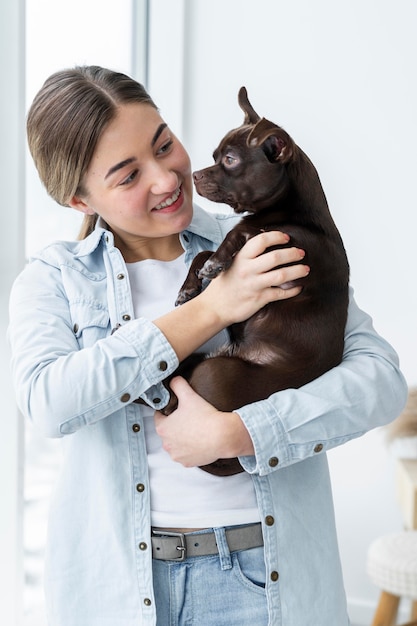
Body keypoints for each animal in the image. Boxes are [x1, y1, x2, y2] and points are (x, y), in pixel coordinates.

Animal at [162, 88, 348, 472]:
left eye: (230, 160)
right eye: (214, 157)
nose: (195, 175)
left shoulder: (293, 243)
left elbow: (244, 230)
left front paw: (218, 261)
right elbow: (203, 253)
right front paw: (191, 285)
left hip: (214, 371)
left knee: (172, 403)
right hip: (203, 360)